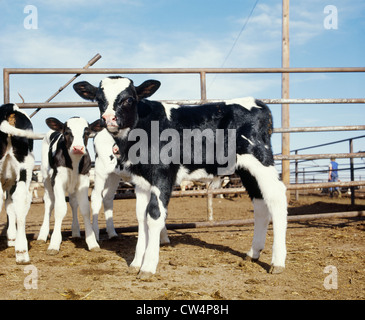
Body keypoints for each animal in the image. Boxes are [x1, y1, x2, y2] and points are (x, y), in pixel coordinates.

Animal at [36, 116, 101, 254]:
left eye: (86, 132)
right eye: (67, 132)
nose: (78, 148)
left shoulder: (83, 181)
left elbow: (85, 209)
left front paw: (92, 242)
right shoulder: (57, 181)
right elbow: (60, 209)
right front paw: (54, 243)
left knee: (73, 203)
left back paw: (75, 232)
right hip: (46, 178)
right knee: (49, 203)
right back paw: (42, 235)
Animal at [74, 77, 288, 278]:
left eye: (128, 99)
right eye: (99, 99)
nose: (108, 118)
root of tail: (258, 103)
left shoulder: (162, 176)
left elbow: (154, 215)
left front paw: (148, 266)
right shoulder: (141, 182)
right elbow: (141, 217)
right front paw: (136, 262)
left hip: (260, 160)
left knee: (277, 197)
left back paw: (278, 261)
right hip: (246, 170)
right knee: (260, 203)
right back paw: (253, 253)